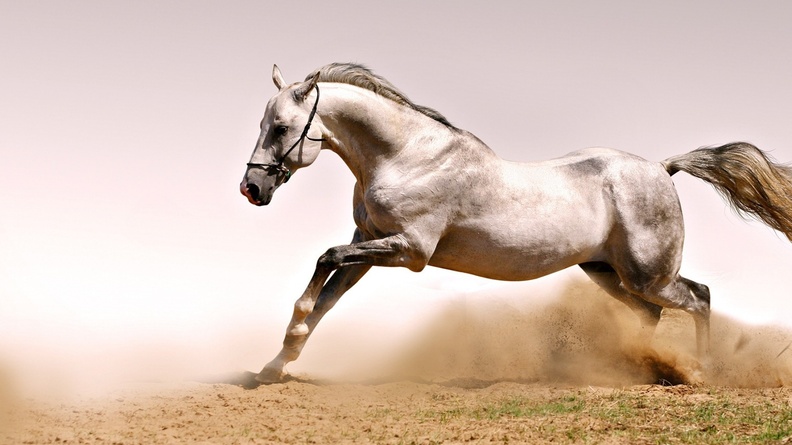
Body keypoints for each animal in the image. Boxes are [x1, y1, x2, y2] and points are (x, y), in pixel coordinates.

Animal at [240, 63, 792, 384]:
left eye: (282, 128)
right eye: (263, 123)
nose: (252, 189)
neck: (405, 156)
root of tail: (661, 168)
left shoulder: (410, 250)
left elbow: (325, 260)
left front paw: (285, 344)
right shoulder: (372, 242)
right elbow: (328, 296)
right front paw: (275, 365)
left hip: (648, 274)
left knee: (699, 297)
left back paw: (700, 373)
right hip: (606, 272)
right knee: (652, 315)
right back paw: (644, 370)